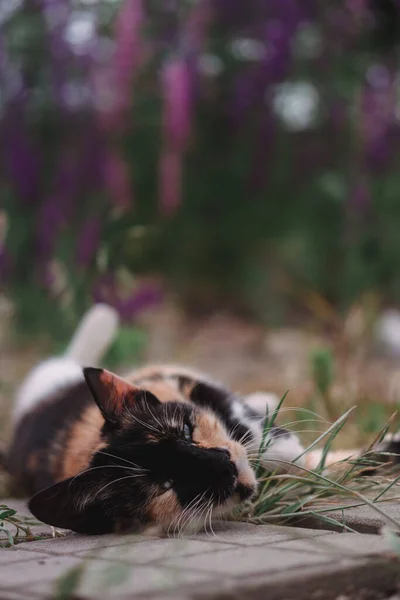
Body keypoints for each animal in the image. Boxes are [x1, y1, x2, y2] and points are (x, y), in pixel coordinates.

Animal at [5, 304, 396, 536]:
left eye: (186, 430)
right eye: (167, 484)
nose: (224, 463)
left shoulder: (185, 383)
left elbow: (254, 431)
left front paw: (287, 448)